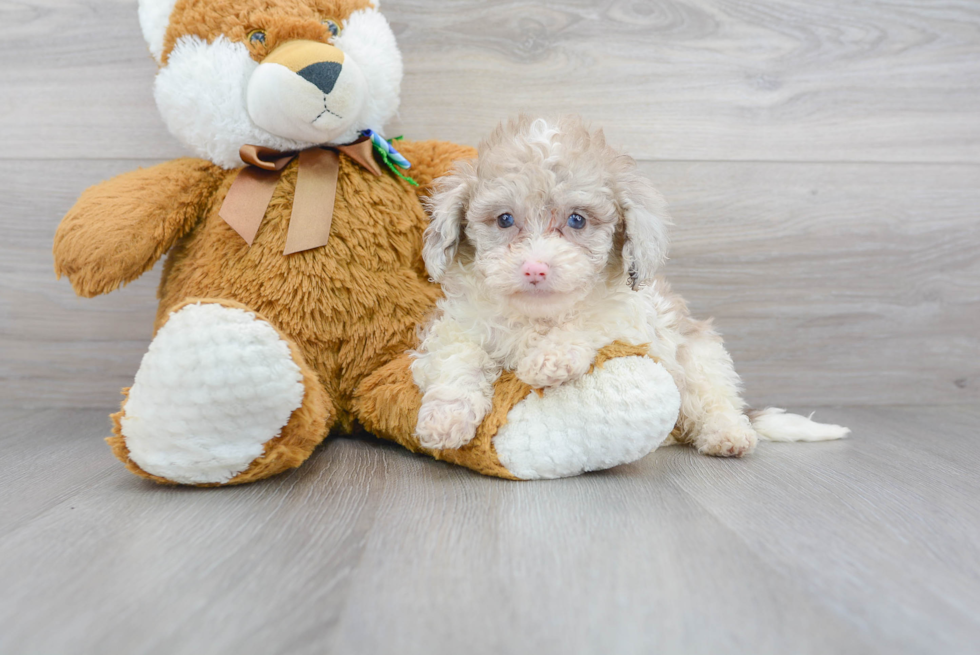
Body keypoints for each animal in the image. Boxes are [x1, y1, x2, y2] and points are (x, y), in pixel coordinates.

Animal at [410, 115, 848, 454]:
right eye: (504, 220)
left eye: (577, 220)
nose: (535, 269)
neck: (539, 317)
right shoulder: (460, 326)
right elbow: (458, 359)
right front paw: (445, 418)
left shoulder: (631, 320)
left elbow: (591, 322)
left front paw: (551, 357)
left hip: (702, 357)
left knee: (717, 401)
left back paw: (727, 434)